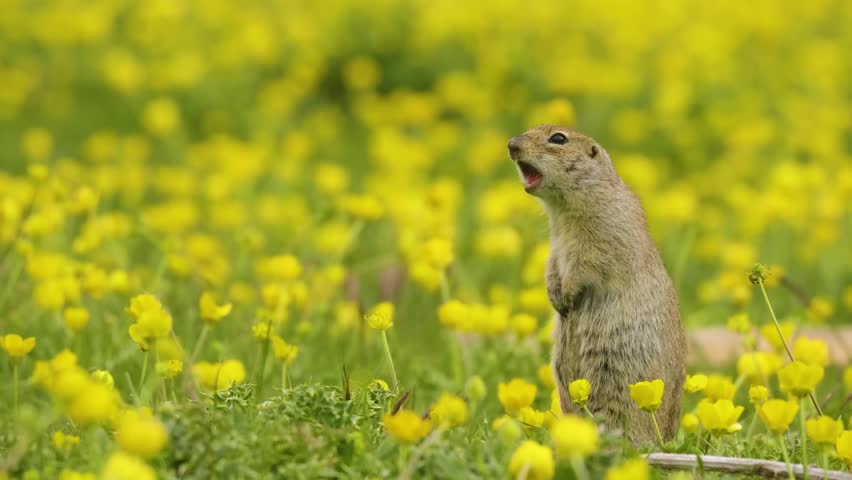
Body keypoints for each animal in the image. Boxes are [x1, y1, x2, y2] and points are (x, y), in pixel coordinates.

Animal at [508, 125, 686, 445]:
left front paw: (567, 296)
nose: (511, 144)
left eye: (558, 138)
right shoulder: (556, 244)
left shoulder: (603, 236)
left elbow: (588, 265)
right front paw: (554, 295)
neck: (564, 214)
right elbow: (551, 265)